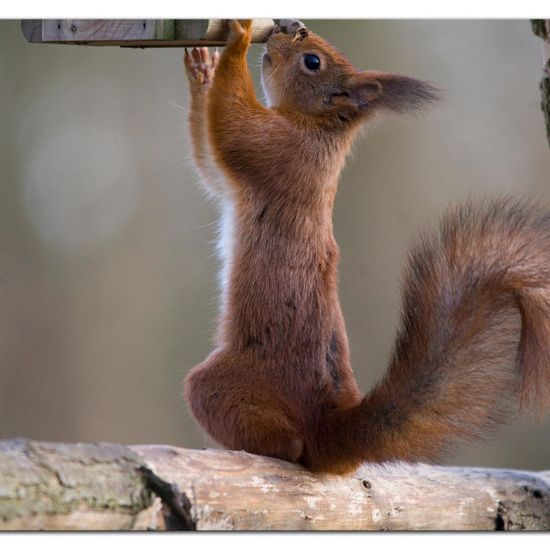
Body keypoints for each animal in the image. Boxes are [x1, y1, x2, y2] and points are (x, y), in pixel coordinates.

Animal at [183, 18, 548, 474]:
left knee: (286, 445)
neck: (319, 127)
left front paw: (239, 35)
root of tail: (327, 428)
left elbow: (231, 126)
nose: (289, 24)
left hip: (226, 386)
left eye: (313, 62)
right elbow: (211, 167)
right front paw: (202, 68)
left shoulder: (277, 148)